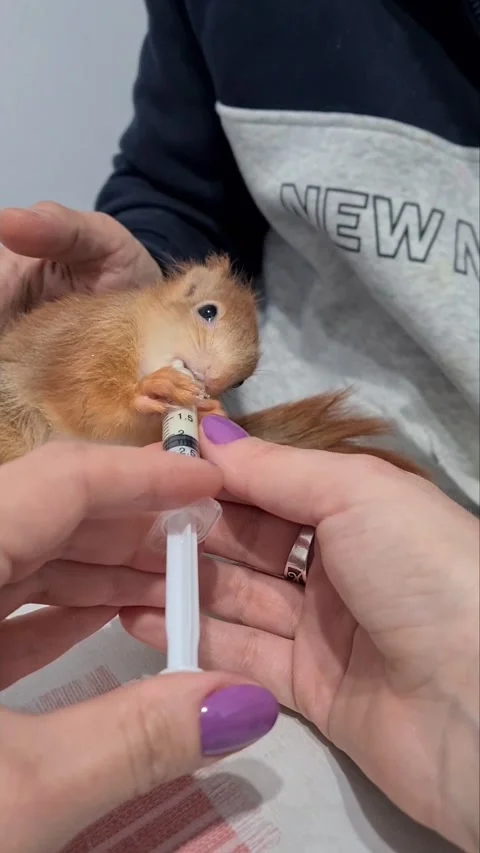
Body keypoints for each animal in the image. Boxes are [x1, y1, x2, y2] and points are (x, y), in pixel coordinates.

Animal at [0, 255, 426, 476]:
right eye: (207, 310)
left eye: (242, 382)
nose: (218, 380)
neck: (140, 337)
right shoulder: (85, 345)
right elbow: (86, 400)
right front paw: (154, 388)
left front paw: (211, 412)